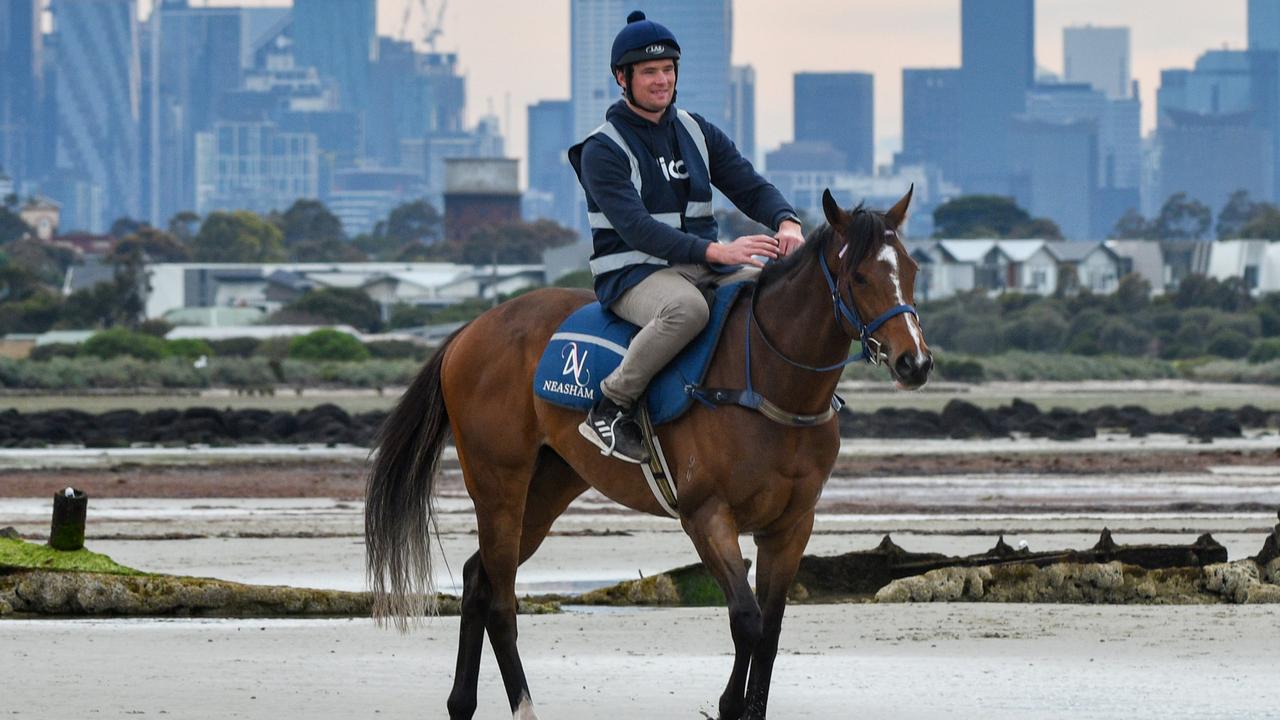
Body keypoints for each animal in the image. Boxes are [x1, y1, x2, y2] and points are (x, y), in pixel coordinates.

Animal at [366, 185, 936, 717]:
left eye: (910, 270)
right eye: (859, 277)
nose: (914, 363)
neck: (767, 382)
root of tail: (470, 329)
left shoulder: (792, 524)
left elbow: (771, 632)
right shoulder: (707, 516)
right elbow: (747, 620)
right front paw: (727, 704)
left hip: (547, 490)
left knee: (477, 578)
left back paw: (461, 702)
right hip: (499, 485)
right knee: (502, 599)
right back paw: (523, 706)